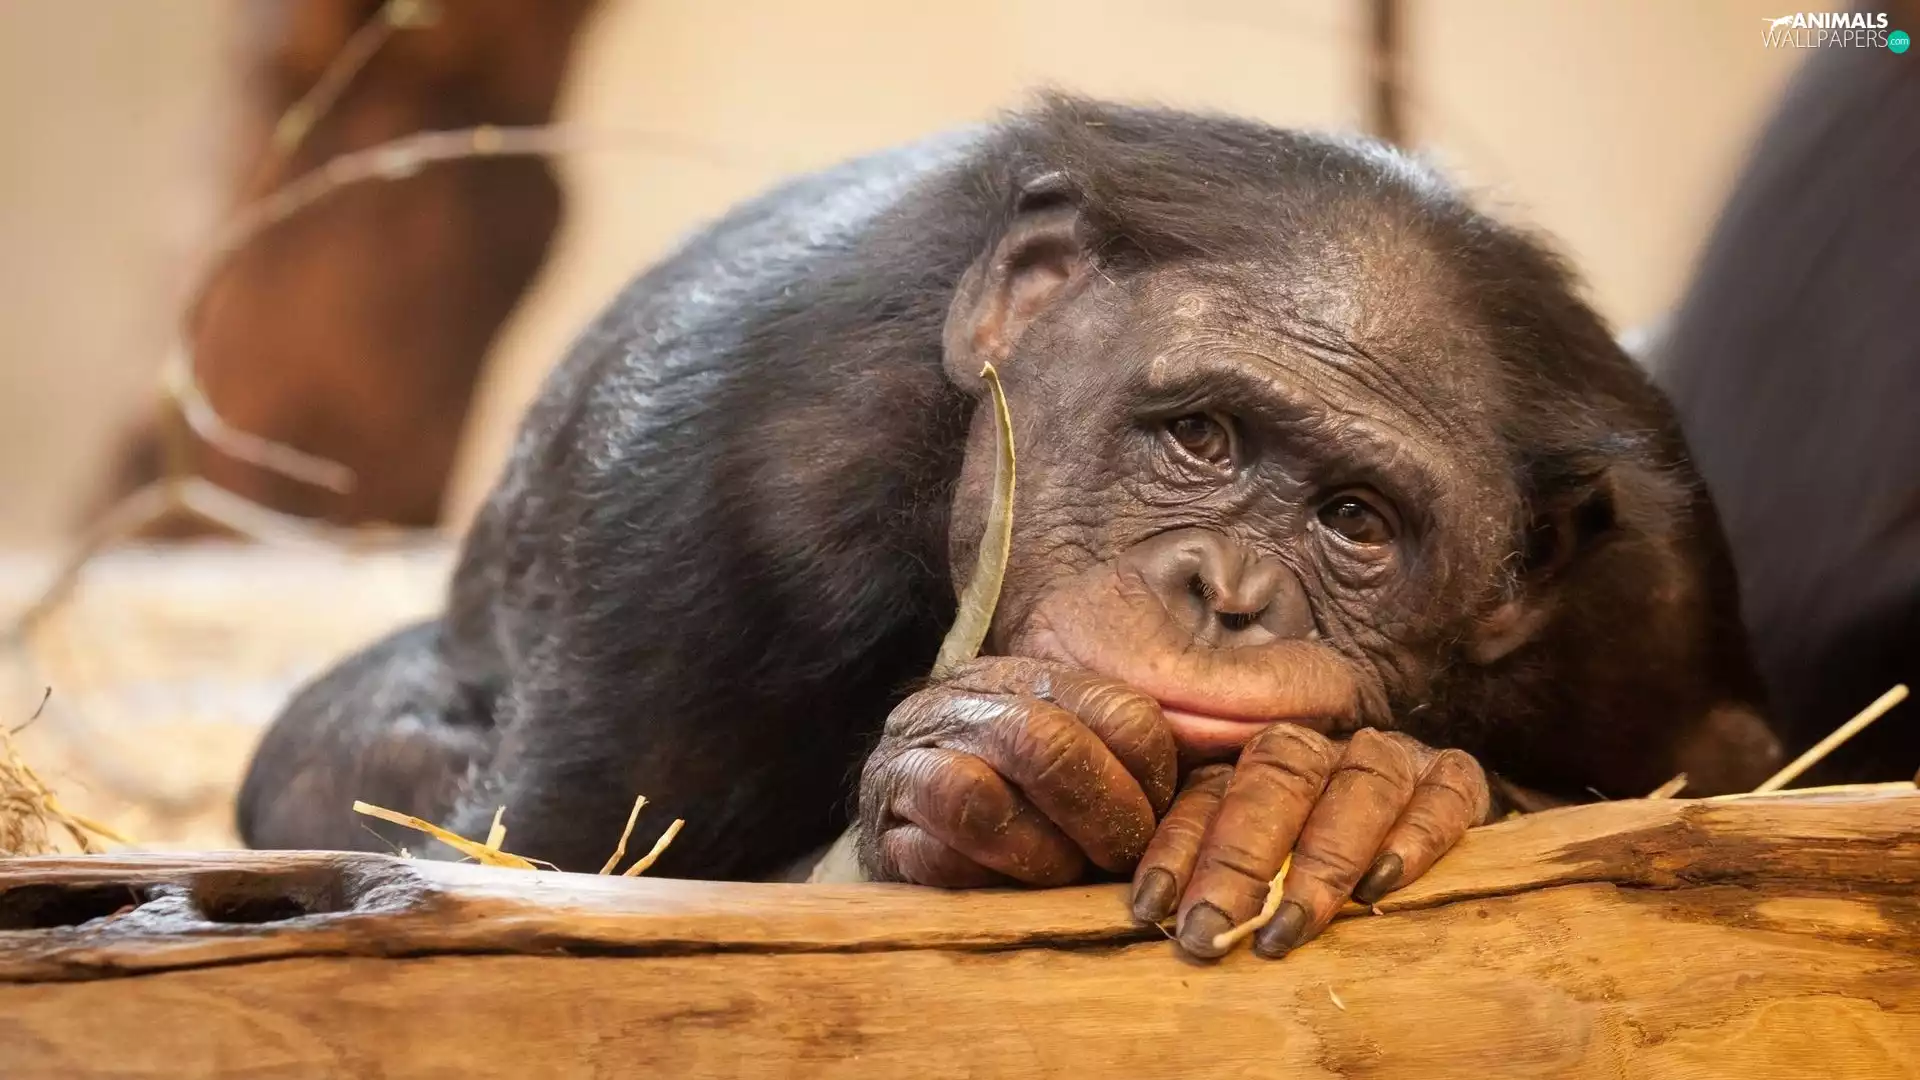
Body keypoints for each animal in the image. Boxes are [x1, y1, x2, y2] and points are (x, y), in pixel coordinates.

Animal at [238, 95, 1782, 961]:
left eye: (1356, 520)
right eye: (1202, 438)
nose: (1228, 590)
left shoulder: (1648, 611)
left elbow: (1724, 789)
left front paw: (1355, 790)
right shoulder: (714, 494)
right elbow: (544, 865)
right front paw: (987, 760)